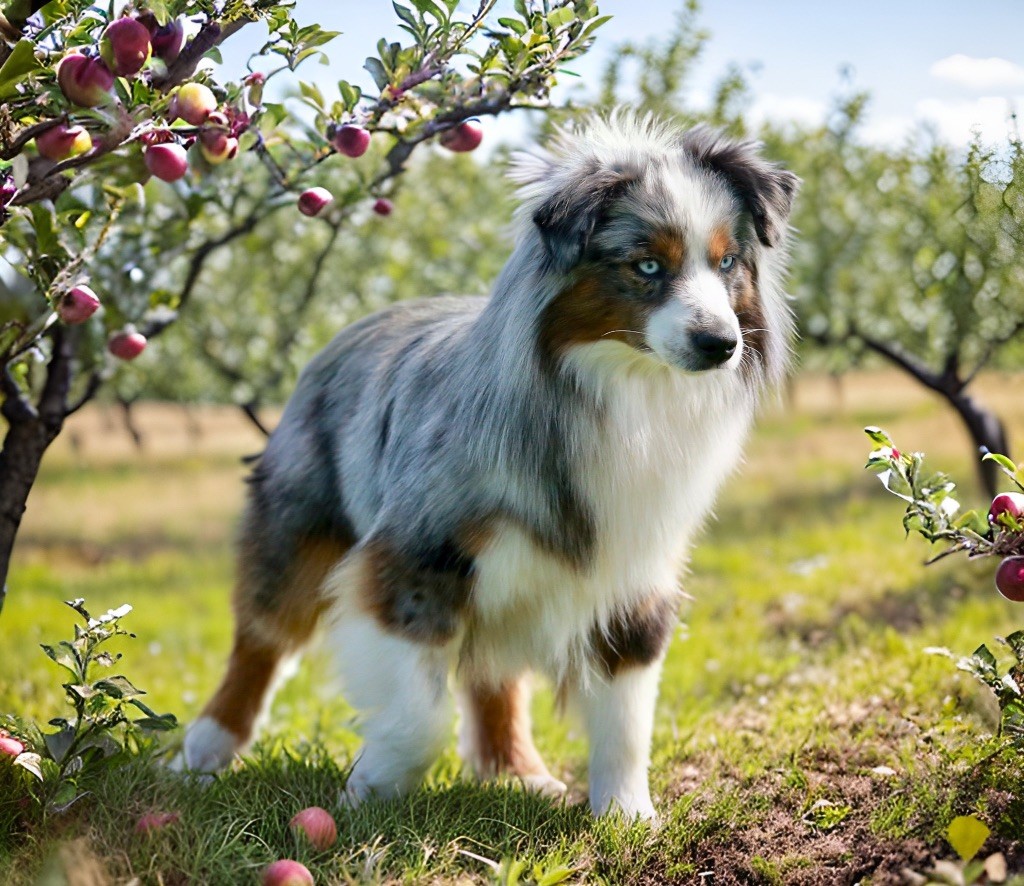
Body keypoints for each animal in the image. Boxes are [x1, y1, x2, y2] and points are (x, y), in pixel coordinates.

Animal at [184, 114, 798, 819]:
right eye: (647, 265)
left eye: (727, 263)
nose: (721, 344)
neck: (619, 389)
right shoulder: (412, 556)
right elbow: (418, 716)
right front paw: (371, 787)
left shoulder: (635, 569)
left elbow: (627, 712)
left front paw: (626, 816)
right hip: (298, 523)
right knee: (262, 637)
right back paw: (204, 748)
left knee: (493, 669)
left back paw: (514, 771)